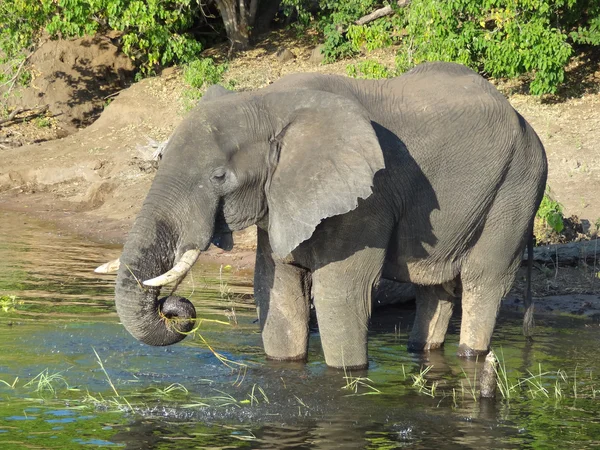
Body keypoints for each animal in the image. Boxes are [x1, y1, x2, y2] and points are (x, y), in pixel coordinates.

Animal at [97, 60, 548, 370]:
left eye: (219, 177)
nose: (174, 307)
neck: (267, 102)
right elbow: (276, 289)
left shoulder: (368, 198)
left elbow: (340, 293)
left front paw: (347, 373)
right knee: (434, 288)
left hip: (517, 185)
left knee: (484, 278)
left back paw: (472, 354)